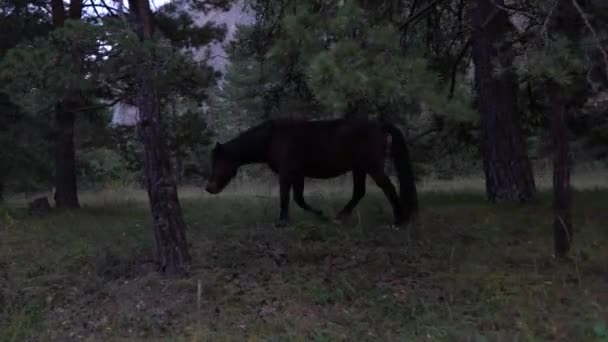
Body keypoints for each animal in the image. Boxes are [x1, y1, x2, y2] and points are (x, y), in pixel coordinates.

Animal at [204, 117, 418, 227]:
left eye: (219, 162)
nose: (209, 188)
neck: (272, 138)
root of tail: (379, 125)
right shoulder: (298, 175)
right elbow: (299, 199)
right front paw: (320, 215)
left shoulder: (287, 173)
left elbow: (286, 197)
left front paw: (282, 221)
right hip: (359, 169)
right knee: (359, 192)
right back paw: (339, 217)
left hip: (372, 167)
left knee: (388, 188)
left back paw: (400, 220)